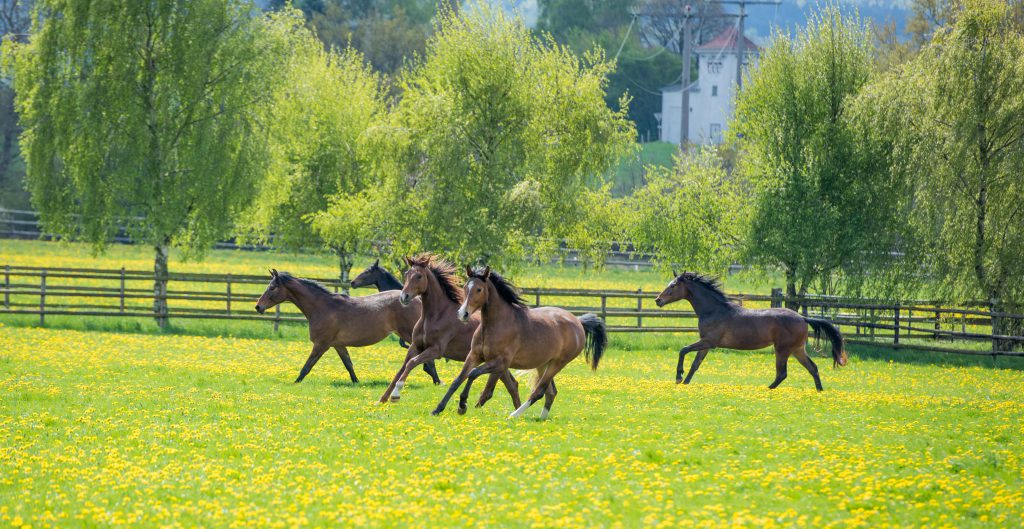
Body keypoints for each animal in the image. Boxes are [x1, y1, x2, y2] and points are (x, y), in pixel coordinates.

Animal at [254, 268, 440, 382]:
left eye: (272, 287)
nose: (258, 307)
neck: (323, 306)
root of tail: (415, 299)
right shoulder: (338, 345)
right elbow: (348, 364)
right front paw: (356, 382)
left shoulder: (321, 344)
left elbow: (307, 366)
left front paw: (296, 382)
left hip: (409, 334)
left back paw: (437, 381)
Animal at [376, 252, 520, 409]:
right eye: (407, 274)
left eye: (419, 276)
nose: (404, 297)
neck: (435, 315)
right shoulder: (415, 346)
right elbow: (401, 369)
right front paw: (382, 399)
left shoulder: (436, 350)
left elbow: (411, 363)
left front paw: (396, 394)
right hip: (496, 363)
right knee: (512, 385)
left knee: (510, 385)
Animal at [432, 266, 606, 419]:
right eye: (465, 287)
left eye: (479, 289)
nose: (463, 314)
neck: (496, 325)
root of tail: (578, 322)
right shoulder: (474, 356)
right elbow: (458, 380)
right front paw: (438, 409)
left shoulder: (500, 362)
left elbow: (474, 375)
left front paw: (462, 405)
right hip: (543, 364)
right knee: (551, 392)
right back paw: (540, 418)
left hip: (558, 364)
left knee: (539, 391)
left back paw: (514, 415)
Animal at [655, 270, 847, 388]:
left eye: (673, 285)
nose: (658, 300)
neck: (713, 310)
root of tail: (803, 318)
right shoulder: (706, 344)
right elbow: (695, 364)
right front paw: (685, 382)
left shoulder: (709, 341)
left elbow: (683, 350)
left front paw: (678, 377)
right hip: (797, 350)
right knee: (812, 368)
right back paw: (820, 391)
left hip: (783, 350)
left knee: (782, 374)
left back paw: (766, 389)